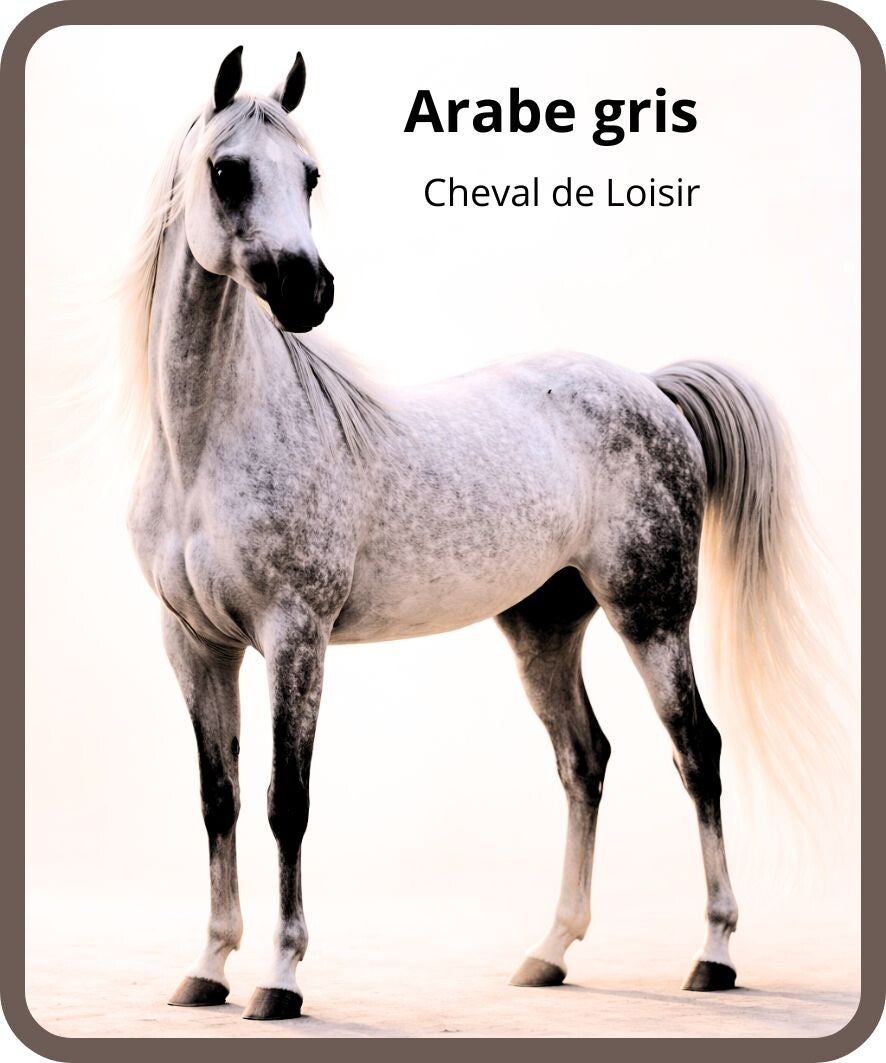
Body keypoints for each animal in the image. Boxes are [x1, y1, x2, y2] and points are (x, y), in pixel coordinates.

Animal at [124, 46, 845, 1021]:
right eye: (228, 171)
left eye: (311, 175)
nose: (310, 291)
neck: (208, 445)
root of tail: (651, 388)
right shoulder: (195, 642)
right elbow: (220, 798)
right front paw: (205, 969)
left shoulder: (293, 635)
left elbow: (286, 801)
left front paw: (279, 978)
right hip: (544, 625)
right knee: (585, 758)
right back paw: (549, 952)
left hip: (652, 614)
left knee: (697, 749)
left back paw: (714, 954)